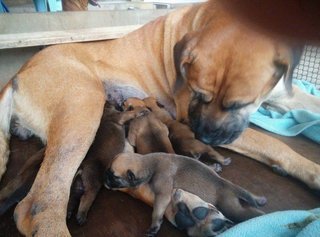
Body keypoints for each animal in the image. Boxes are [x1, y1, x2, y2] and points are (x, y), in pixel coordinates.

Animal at [0, 101, 144, 224]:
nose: (120, 103)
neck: (105, 112)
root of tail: (80, 167)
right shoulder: (119, 116)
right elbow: (129, 114)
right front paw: (139, 111)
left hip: (72, 188)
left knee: (71, 200)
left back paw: (68, 213)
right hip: (93, 182)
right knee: (87, 197)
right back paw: (81, 216)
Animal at [105, 153, 268, 236]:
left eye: (114, 176)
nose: (104, 177)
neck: (148, 163)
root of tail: (227, 185)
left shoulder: (163, 194)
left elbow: (157, 211)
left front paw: (154, 226)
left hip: (232, 208)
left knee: (249, 214)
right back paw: (259, 200)